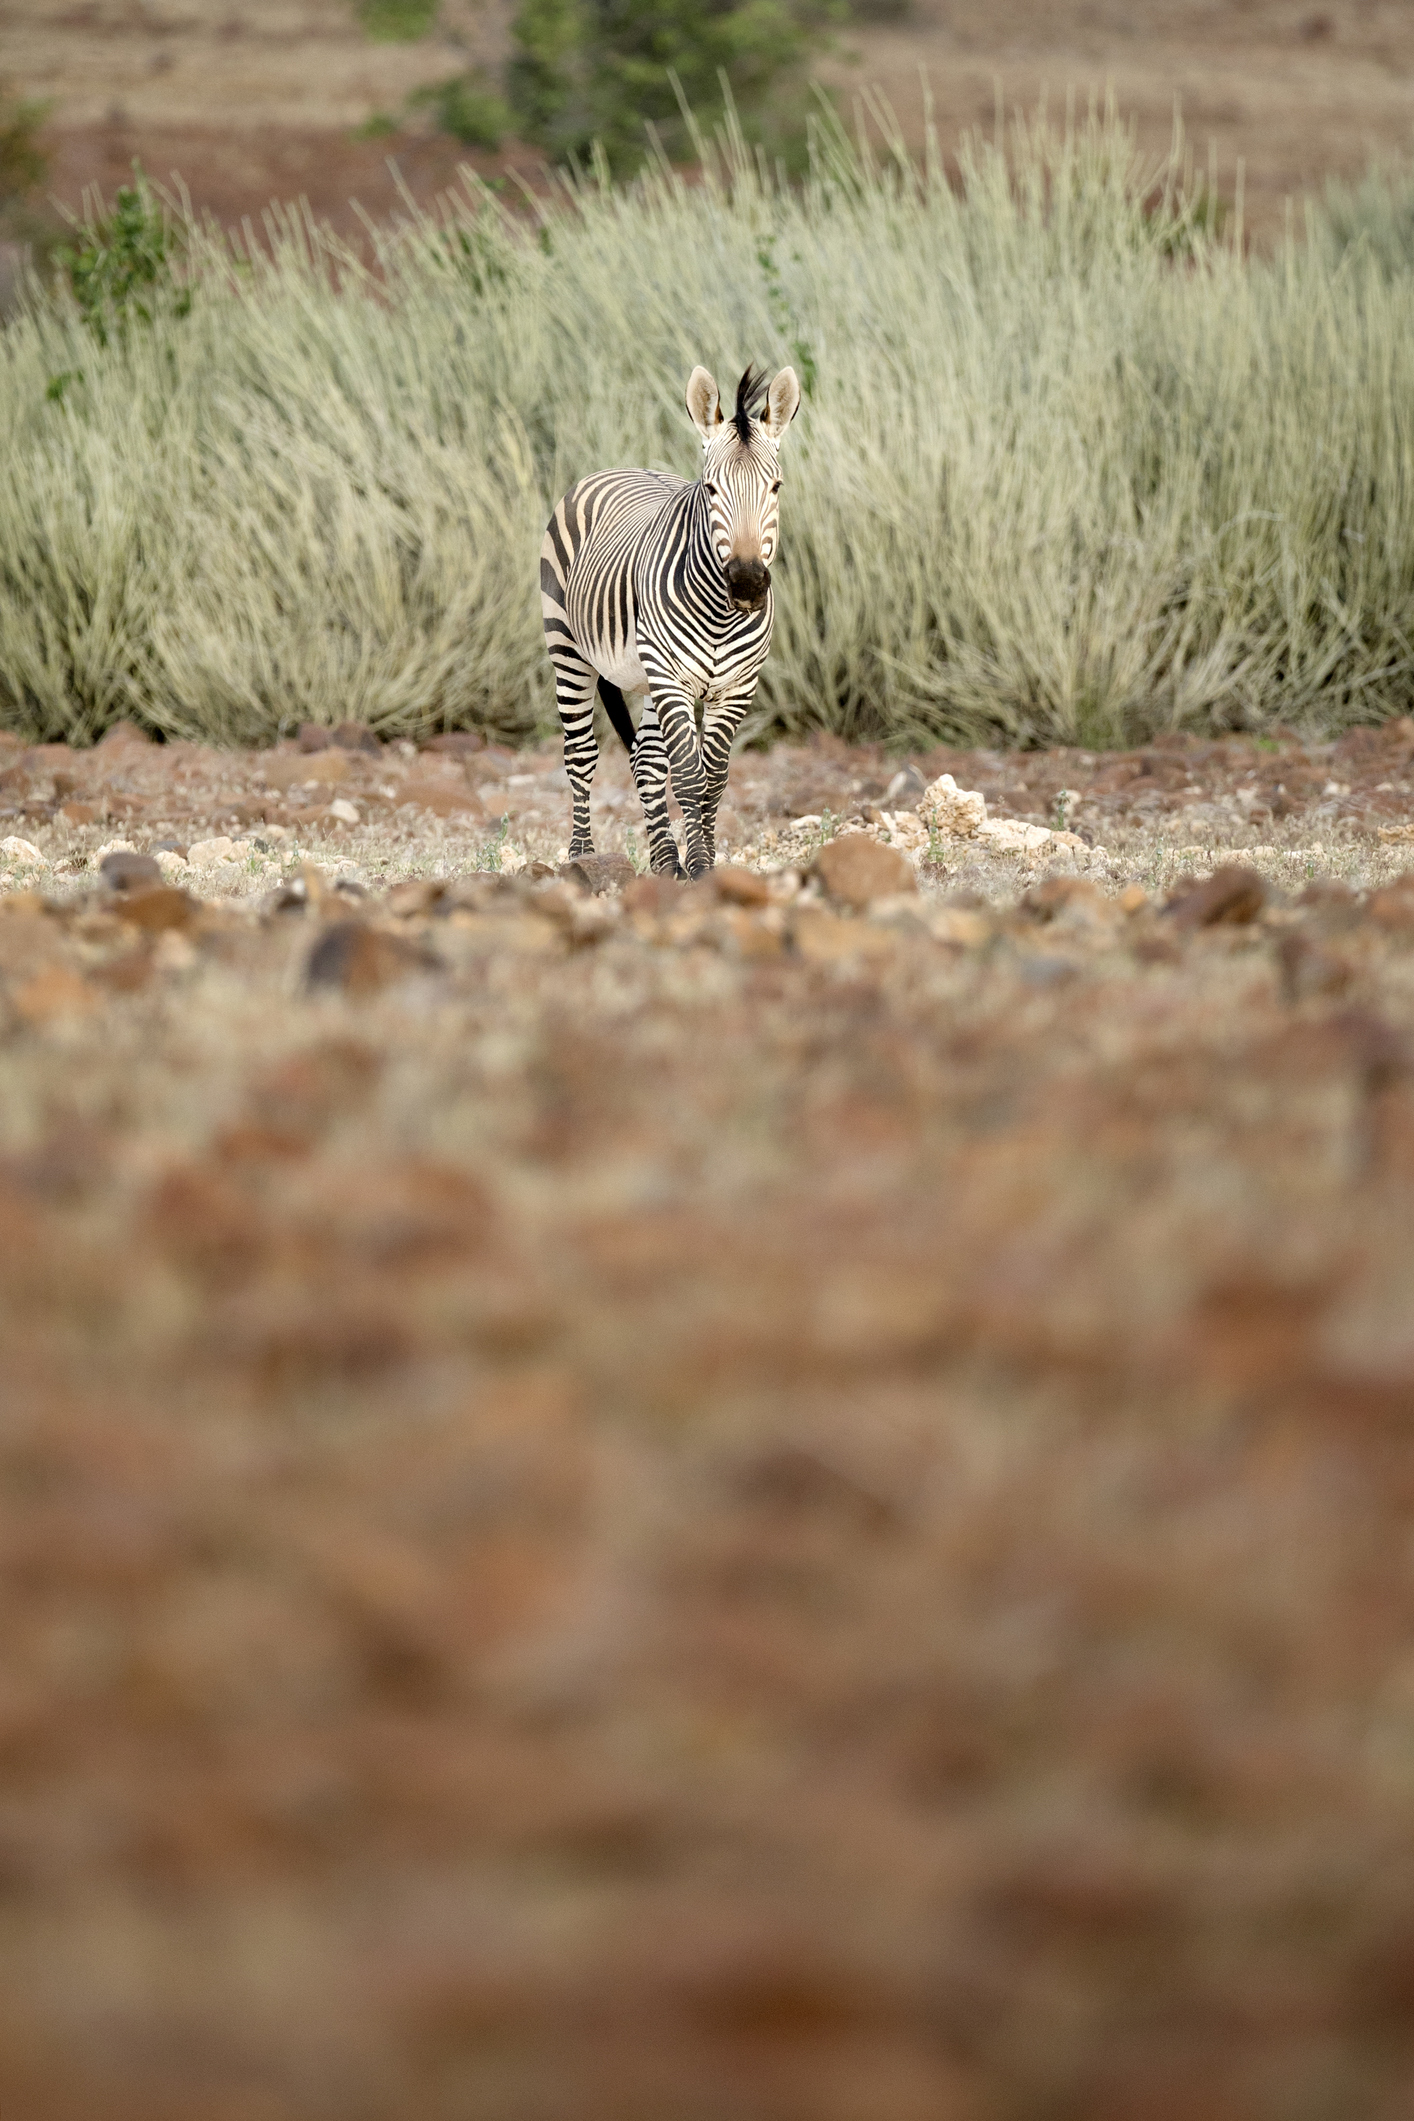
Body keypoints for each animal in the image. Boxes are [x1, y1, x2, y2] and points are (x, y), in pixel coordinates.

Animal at [539, 361, 801, 880]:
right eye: (711, 488)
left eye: (776, 487)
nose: (746, 583)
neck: (721, 614)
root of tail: (620, 467)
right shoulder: (672, 678)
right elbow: (689, 776)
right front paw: (697, 866)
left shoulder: (736, 688)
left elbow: (714, 778)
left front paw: (704, 862)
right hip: (569, 650)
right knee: (581, 754)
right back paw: (582, 855)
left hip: (644, 676)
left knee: (646, 760)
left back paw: (663, 861)